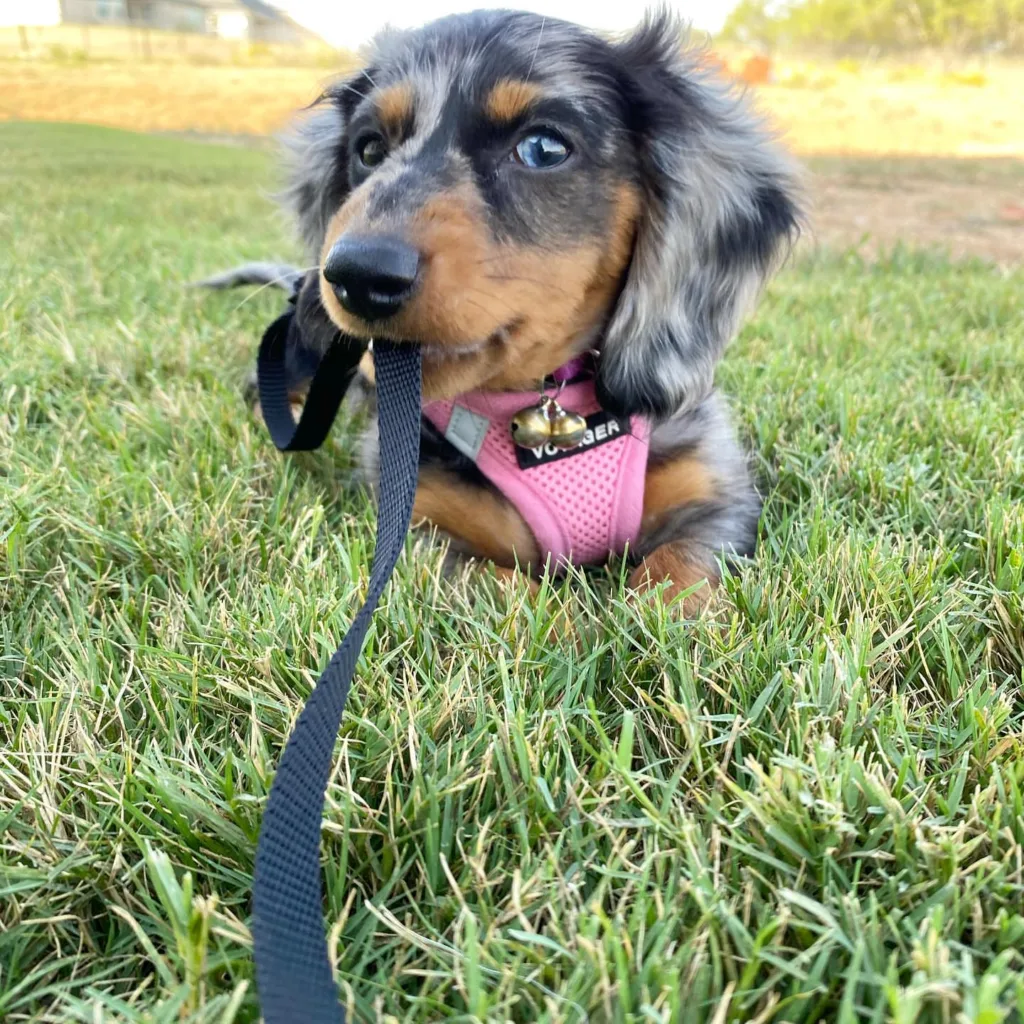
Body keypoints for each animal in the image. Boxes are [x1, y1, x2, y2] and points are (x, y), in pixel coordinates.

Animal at [222, 8, 798, 610]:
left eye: (542, 149)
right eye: (370, 150)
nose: (356, 276)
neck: (549, 401)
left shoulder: (716, 502)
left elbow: (678, 570)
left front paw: (665, 620)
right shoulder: (425, 534)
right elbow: (507, 588)